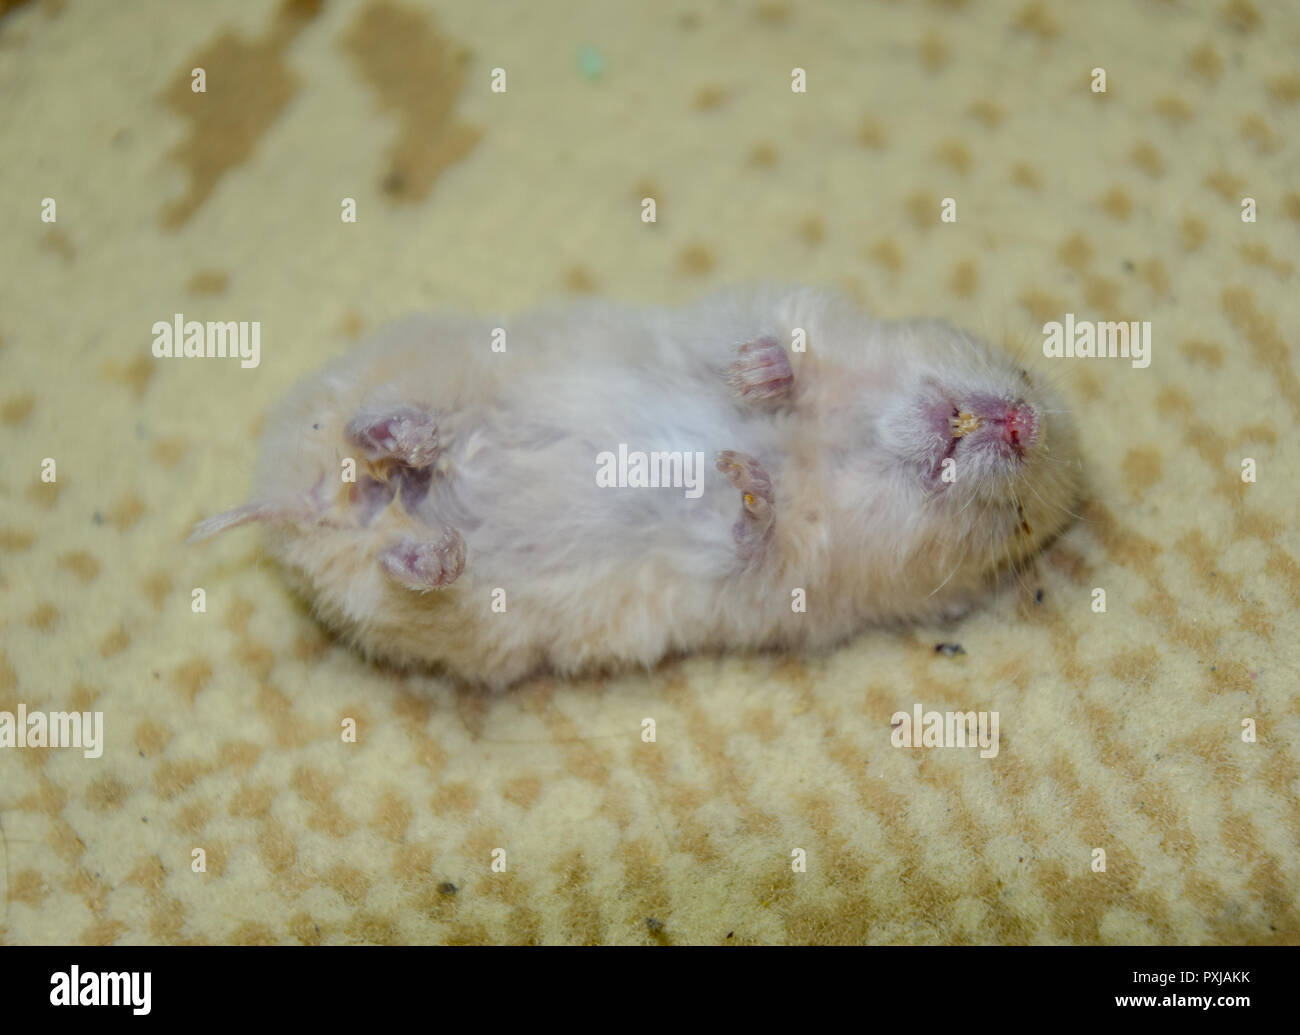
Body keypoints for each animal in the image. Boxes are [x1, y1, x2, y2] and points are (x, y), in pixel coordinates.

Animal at [192, 286, 1083, 687]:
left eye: (1015, 523)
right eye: (1025, 373)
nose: (1020, 425)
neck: (845, 443)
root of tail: (305, 506)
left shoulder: (778, 584)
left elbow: (751, 535)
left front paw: (747, 481)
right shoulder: (757, 314)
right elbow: (765, 355)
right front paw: (761, 380)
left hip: (429, 611)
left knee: (403, 564)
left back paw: (431, 533)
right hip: (387, 378)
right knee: (360, 426)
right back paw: (411, 441)